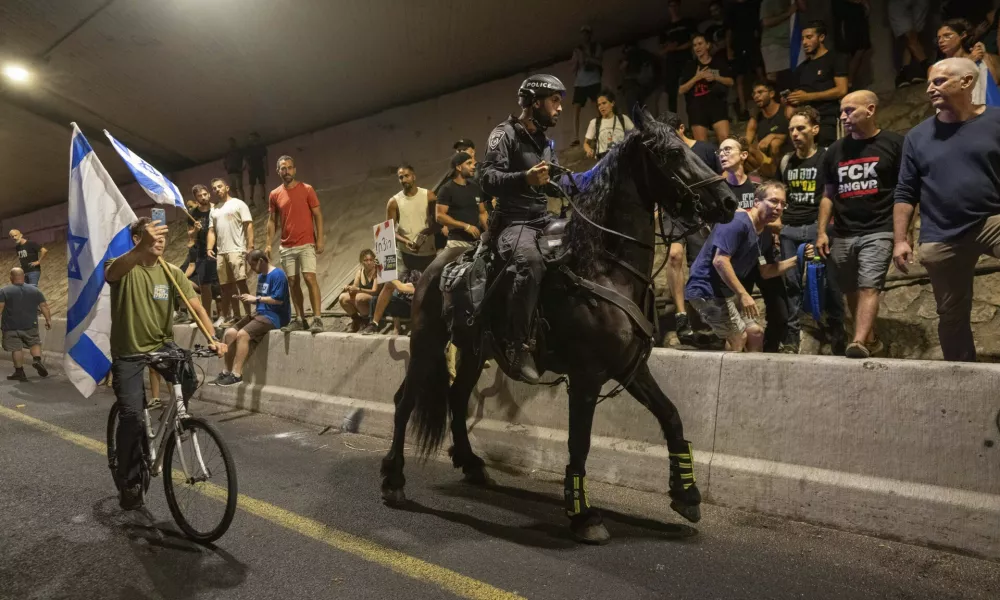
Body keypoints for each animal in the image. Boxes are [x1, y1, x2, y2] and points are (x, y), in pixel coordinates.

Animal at [378, 108, 740, 544]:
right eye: (672, 154)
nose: (728, 200)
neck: (603, 268)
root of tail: (433, 266)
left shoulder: (631, 367)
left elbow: (670, 416)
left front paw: (686, 494)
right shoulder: (586, 377)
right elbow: (578, 442)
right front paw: (584, 516)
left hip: (474, 351)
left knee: (457, 397)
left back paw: (472, 464)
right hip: (427, 342)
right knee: (404, 402)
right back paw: (393, 479)